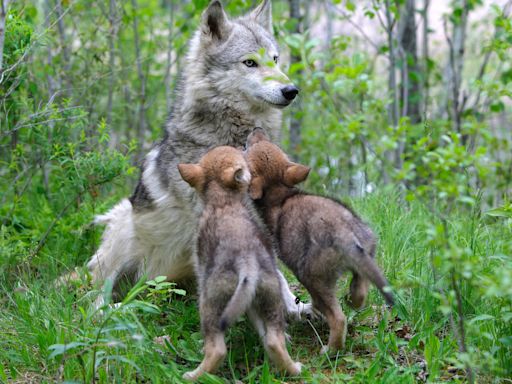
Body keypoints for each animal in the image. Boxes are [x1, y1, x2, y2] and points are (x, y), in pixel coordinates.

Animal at [87, 0, 308, 318]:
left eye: (276, 60)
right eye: (250, 63)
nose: (291, 91)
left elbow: (273, 267)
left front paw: (296, 307)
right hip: (122, 226)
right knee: (93, 301)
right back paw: (115, 310)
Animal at [178, 146, 302, 380]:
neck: (224, 201)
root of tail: (247, 263)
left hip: (209, 305)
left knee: (217, 350)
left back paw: (193, 375)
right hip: (271, 299)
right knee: (274, 341)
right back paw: (294, 369)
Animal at [246, 129, 394, 354]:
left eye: (248, 149)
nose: (256, 129)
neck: (281, 196)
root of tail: (344, 234)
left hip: (311, 276)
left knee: (339, 318)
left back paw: (330, 350)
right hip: (365, 254)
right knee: (360, 291)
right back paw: (351, 299)